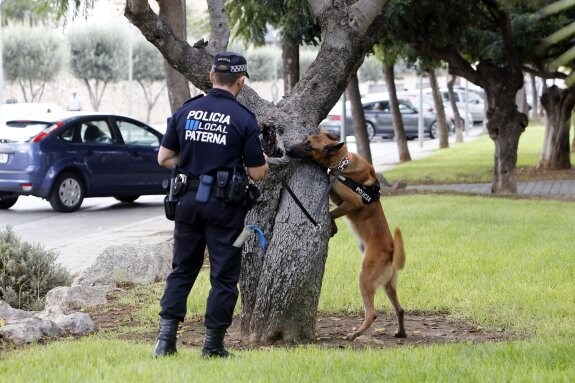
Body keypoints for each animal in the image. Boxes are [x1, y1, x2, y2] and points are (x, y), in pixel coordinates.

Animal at [286, 133, 404, 342]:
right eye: (304, 140)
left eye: (309, 146)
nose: (287, 149)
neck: (342, 162)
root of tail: (391, 249)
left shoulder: (351, 201)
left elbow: (330, 214)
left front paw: (331, 226)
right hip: (388, 285)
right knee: (400, 309)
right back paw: (401, 332)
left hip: (365, 278)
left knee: (372, 313)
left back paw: (355, 333)